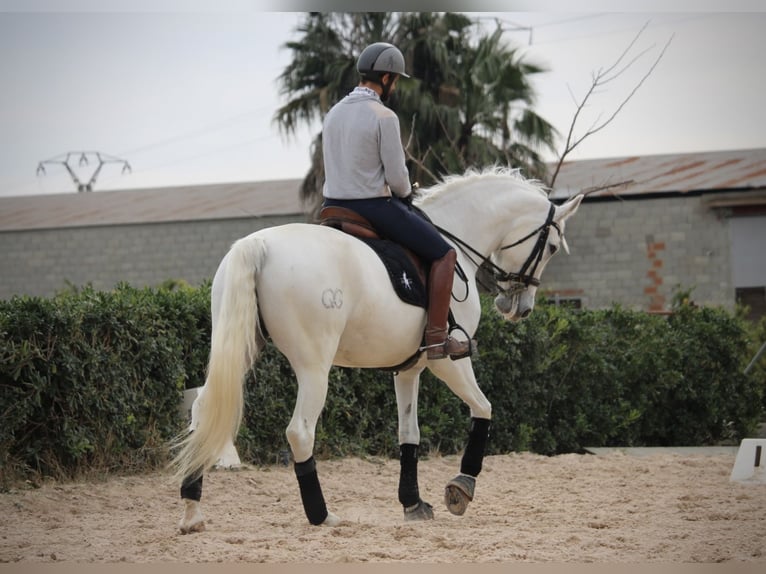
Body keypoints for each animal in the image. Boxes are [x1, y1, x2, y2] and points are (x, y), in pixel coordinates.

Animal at [170, 167, 583, 533]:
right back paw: (322, 516)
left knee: (203, 411)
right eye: (550, 246)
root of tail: (260, 245)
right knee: (301, 431)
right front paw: (461, 488)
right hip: (314, 367)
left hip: (241, 348)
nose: (519, 307)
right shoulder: (450, 361)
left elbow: (409, 433)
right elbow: (483, 409)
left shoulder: (409, 368)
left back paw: (192, 512)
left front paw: (413, 504)